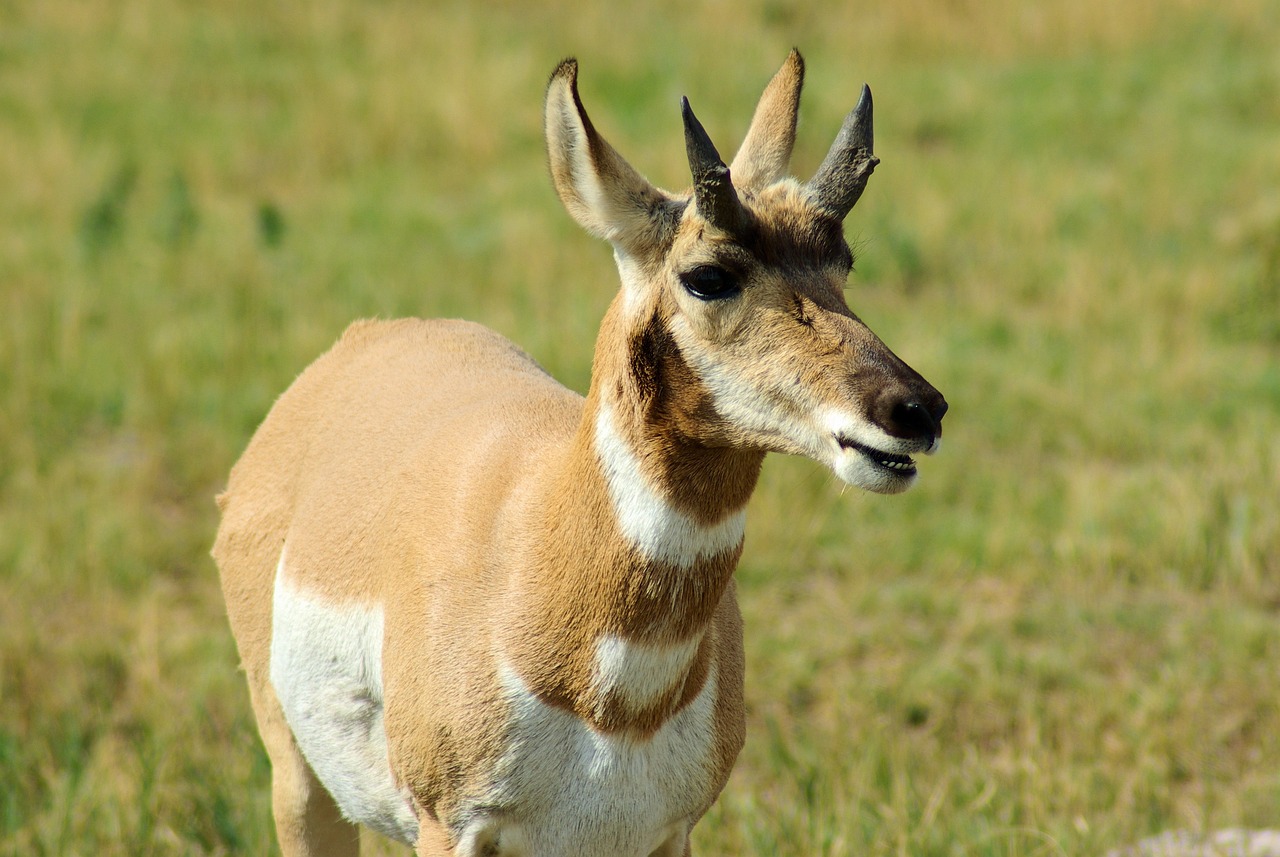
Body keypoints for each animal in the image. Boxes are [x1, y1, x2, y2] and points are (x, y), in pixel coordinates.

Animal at [213, 50, 947, 857]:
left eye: (841, 261)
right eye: (708, 275)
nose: (916, 409)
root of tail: (365, 341)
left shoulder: (663, 832)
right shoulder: (449, 824)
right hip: (298, 776)